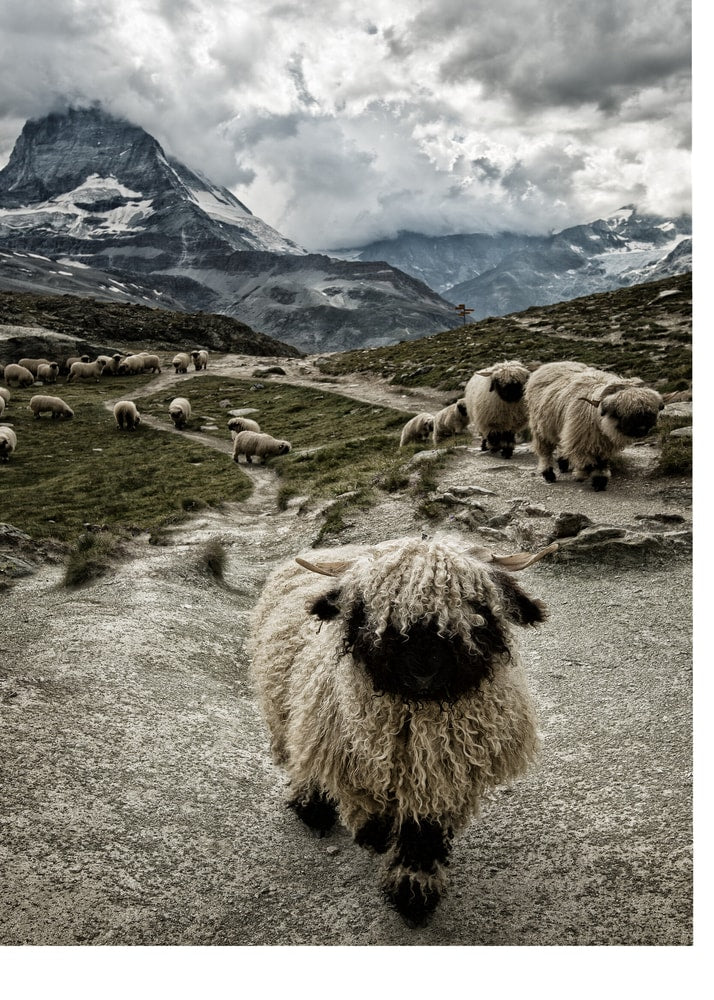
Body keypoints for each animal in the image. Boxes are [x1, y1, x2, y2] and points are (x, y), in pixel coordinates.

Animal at [250, 532, 556, 925]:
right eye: (372, 607)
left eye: (476, 604)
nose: (423, 667)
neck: (418, 717)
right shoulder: (356, 759)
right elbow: (370, 810)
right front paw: (376, 838)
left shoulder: (441, 778)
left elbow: (422, 834)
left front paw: (414, 893)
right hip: (291, 711)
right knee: (302, 755)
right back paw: (311, 804)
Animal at [525, 361, 665, 491]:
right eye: (620, 413)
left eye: (649, 413)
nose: (642, 430)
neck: (598, 420)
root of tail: (551, 364)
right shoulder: (580, 441)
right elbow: (588, 464)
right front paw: (581, 474)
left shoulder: (604, 446)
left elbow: (601, 464)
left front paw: (599, 482)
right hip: (541, 429)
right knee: (545, 453)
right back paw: (548, 474)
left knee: (561, 445)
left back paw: (563, 464)